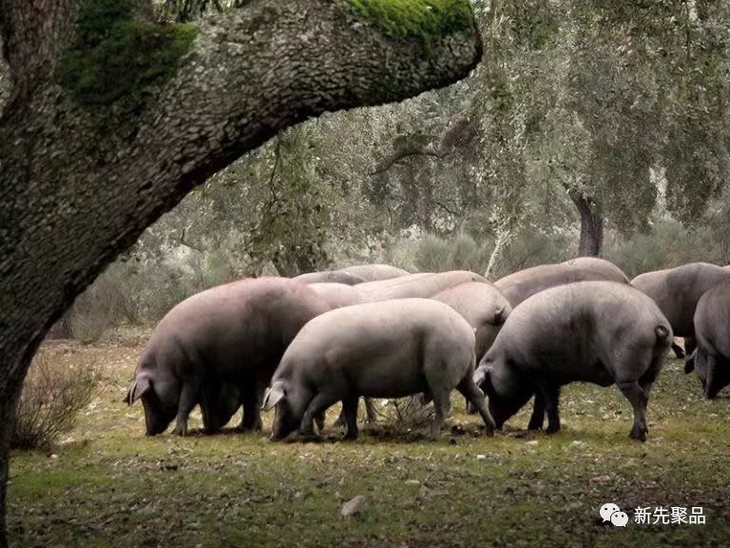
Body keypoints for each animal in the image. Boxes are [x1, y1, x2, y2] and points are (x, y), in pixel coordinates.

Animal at [126, 278, 330, 436]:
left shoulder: (192, 374)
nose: (148, 432)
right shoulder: (208, 377)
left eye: (147, 396)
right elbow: (208, 403)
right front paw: (208, 429)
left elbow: (185, 402)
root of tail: (321, 307)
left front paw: (178, 433)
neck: (164, 364)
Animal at [262, 298, 494, 438]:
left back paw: (431, 436)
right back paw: (491, 431)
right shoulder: (350, 387)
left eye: (281, 402)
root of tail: (467, 329)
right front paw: (348, 436)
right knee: (477, 394)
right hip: (464, 374)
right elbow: (350, 410)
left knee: (443, 407)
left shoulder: (334, 386)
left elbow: (312, 406)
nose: (272, 436)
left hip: (441, 375)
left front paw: (306, 434)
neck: (301, 375)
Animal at [472, 282, 672, 440]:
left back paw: (637, 436)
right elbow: (540, 403)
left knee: (638, 397)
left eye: (490, 389)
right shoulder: (544, 378)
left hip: (626, 371)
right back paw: (635, 433)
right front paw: (533, 427)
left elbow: (550, 403)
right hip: (651, 371)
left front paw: (550, 431)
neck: (510, 358)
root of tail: (656, 321)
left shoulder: (544, 376)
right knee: (645, 395)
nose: (495, 424)